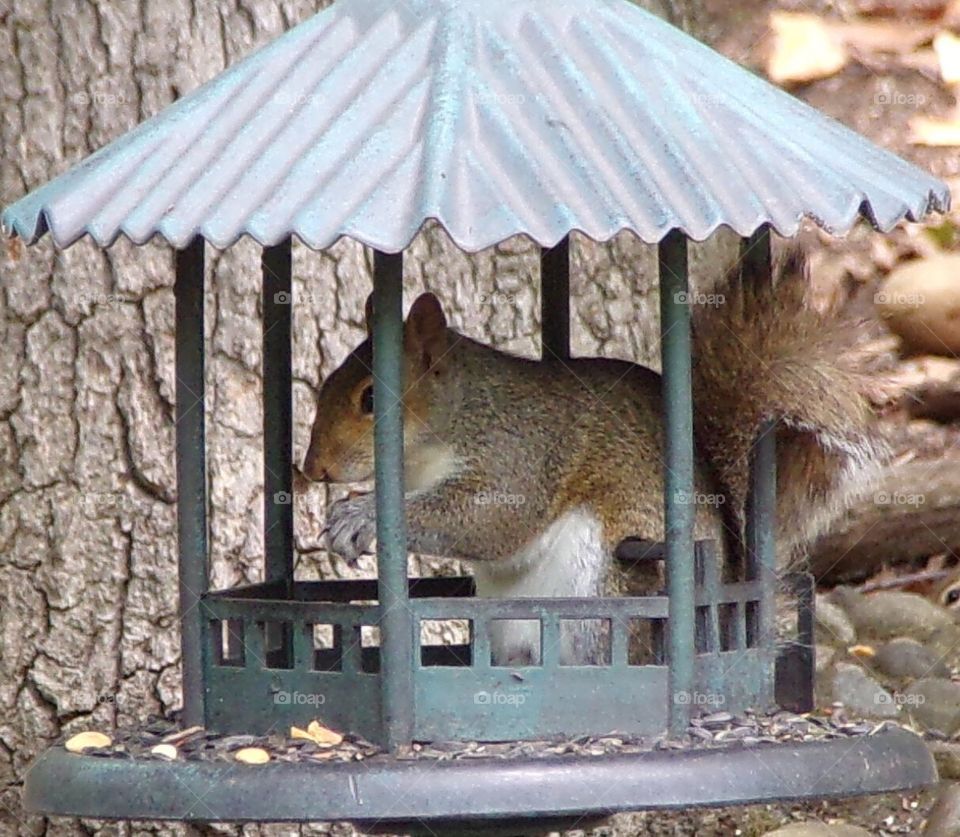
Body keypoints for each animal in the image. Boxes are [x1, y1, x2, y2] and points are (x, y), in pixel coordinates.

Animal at [302, 252, 888, 665]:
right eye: (327, 382)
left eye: (370, 400)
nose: (312, 470)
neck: (457, 419)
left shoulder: (520, 452)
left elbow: (492, 519)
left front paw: (359, 516)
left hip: (602, 591)